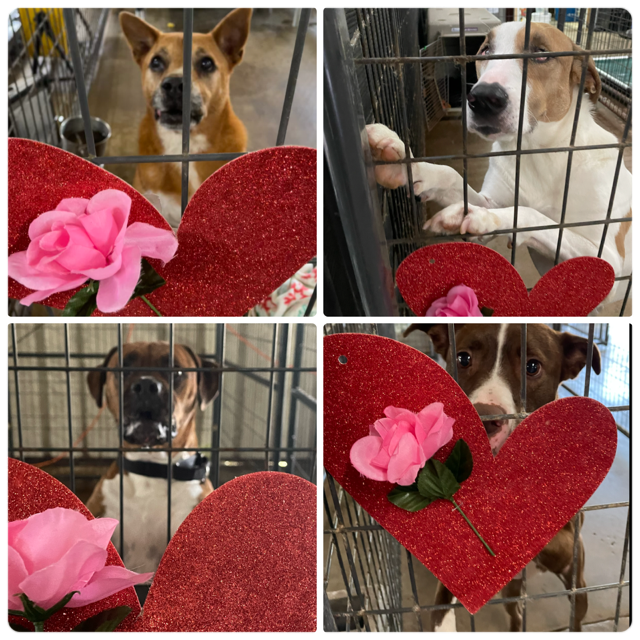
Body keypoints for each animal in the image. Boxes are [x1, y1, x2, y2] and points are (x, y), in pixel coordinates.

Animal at [368, 21, 632, 304]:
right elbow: (452, 176)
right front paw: (402, 160)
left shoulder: (607, 262)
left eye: (541, 53)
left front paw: (478, 216)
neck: (538, 153)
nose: (483, 98)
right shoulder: (491, 199)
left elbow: (531, 214)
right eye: (485, 50)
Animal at [404, 322, 600, 632]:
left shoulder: (570, 548)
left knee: (575, 616)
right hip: (512, 592)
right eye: (463, 358)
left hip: (577, 591)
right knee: (515, 615)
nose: (484, 420)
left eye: (532, 366)